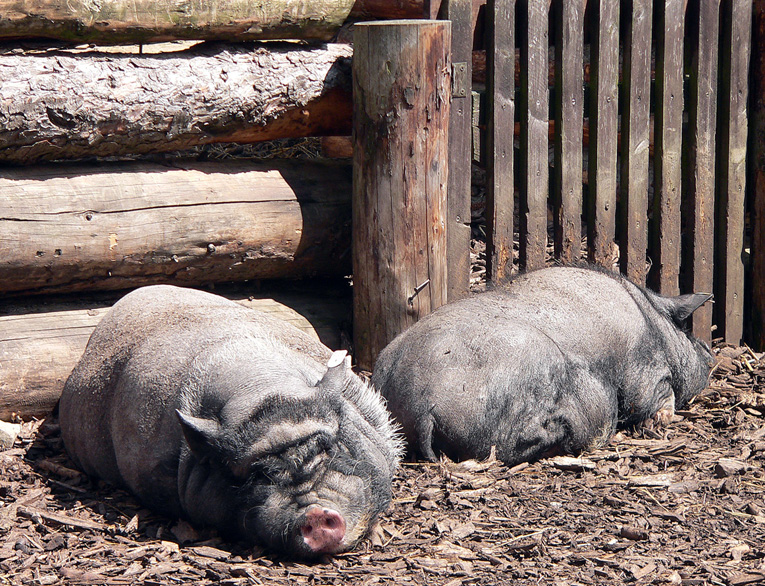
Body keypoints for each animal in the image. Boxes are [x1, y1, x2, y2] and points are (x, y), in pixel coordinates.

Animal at [374, 266, 712, 466]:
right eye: (687, 329)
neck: (653, 317)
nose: (709, 350)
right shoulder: (646, 372)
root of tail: (422, 407)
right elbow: (656, 397)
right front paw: (659, 421)